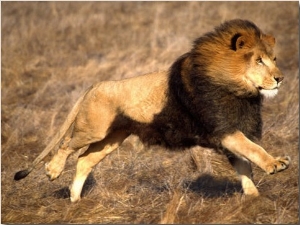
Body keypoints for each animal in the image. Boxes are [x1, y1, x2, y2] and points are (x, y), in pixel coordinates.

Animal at [14, 19, 290, 202]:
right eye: (259, 61)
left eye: (274, 59)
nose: (280, 79)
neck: (240, 91)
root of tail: (96, 84)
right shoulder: (224, 130)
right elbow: (253, 149)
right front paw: (275, 163)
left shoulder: (230, 133)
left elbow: (245, 166)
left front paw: (254, 199)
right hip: (93, 129)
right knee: (66, 145)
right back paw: (53, 171)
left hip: (111, 139)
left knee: (84, 160)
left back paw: (75, 201)